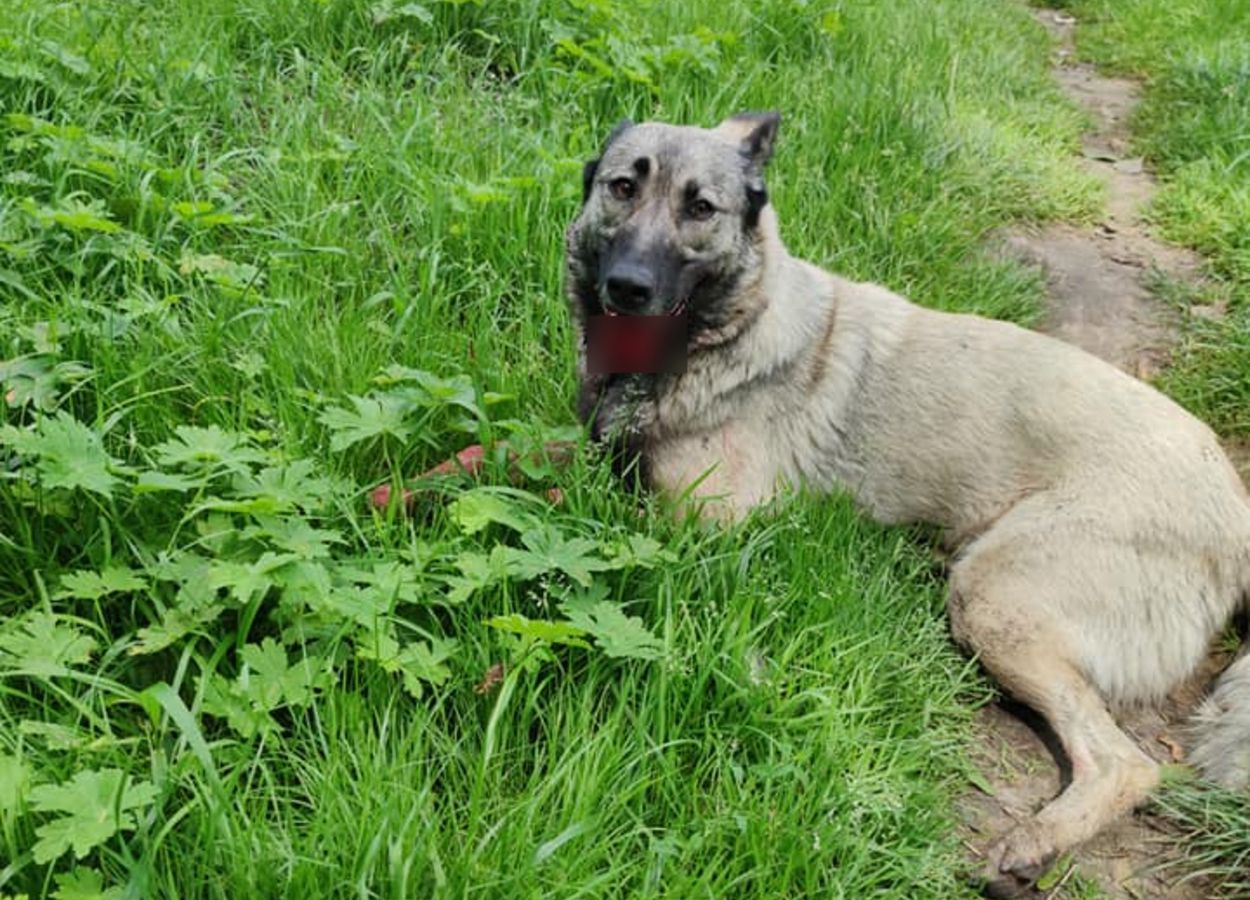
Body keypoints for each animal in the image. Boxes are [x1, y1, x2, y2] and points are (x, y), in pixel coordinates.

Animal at [565, 110, 1250, 895]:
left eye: (699, 208)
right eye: (623, 187)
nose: (628, 287)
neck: (740, 327)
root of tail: (1236, 509)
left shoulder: (706, 526)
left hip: (994, 596)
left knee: (1126, 763)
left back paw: (1033, 845)